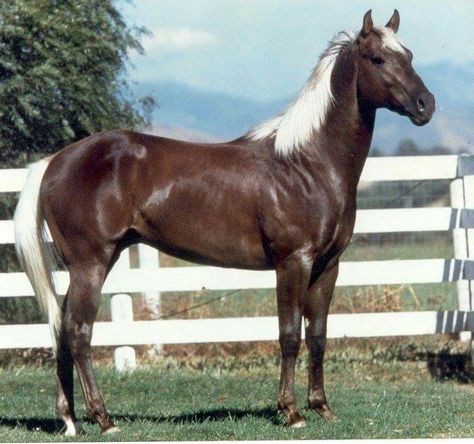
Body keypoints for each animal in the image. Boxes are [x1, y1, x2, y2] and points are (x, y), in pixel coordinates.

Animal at [12, 9, 436, 434]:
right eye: (378, 59)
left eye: (410, 55)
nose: (426, 105)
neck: (306, 165)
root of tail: (54, 162)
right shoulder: (293, 262)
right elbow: (289, 335)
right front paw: (292, 412)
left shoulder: (327, 266)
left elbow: (318, 335)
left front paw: (322, 407)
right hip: (91, 264)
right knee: (79, 333)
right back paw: (104, 419)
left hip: (89, 265)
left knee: (61, 329)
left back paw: (70, 420)